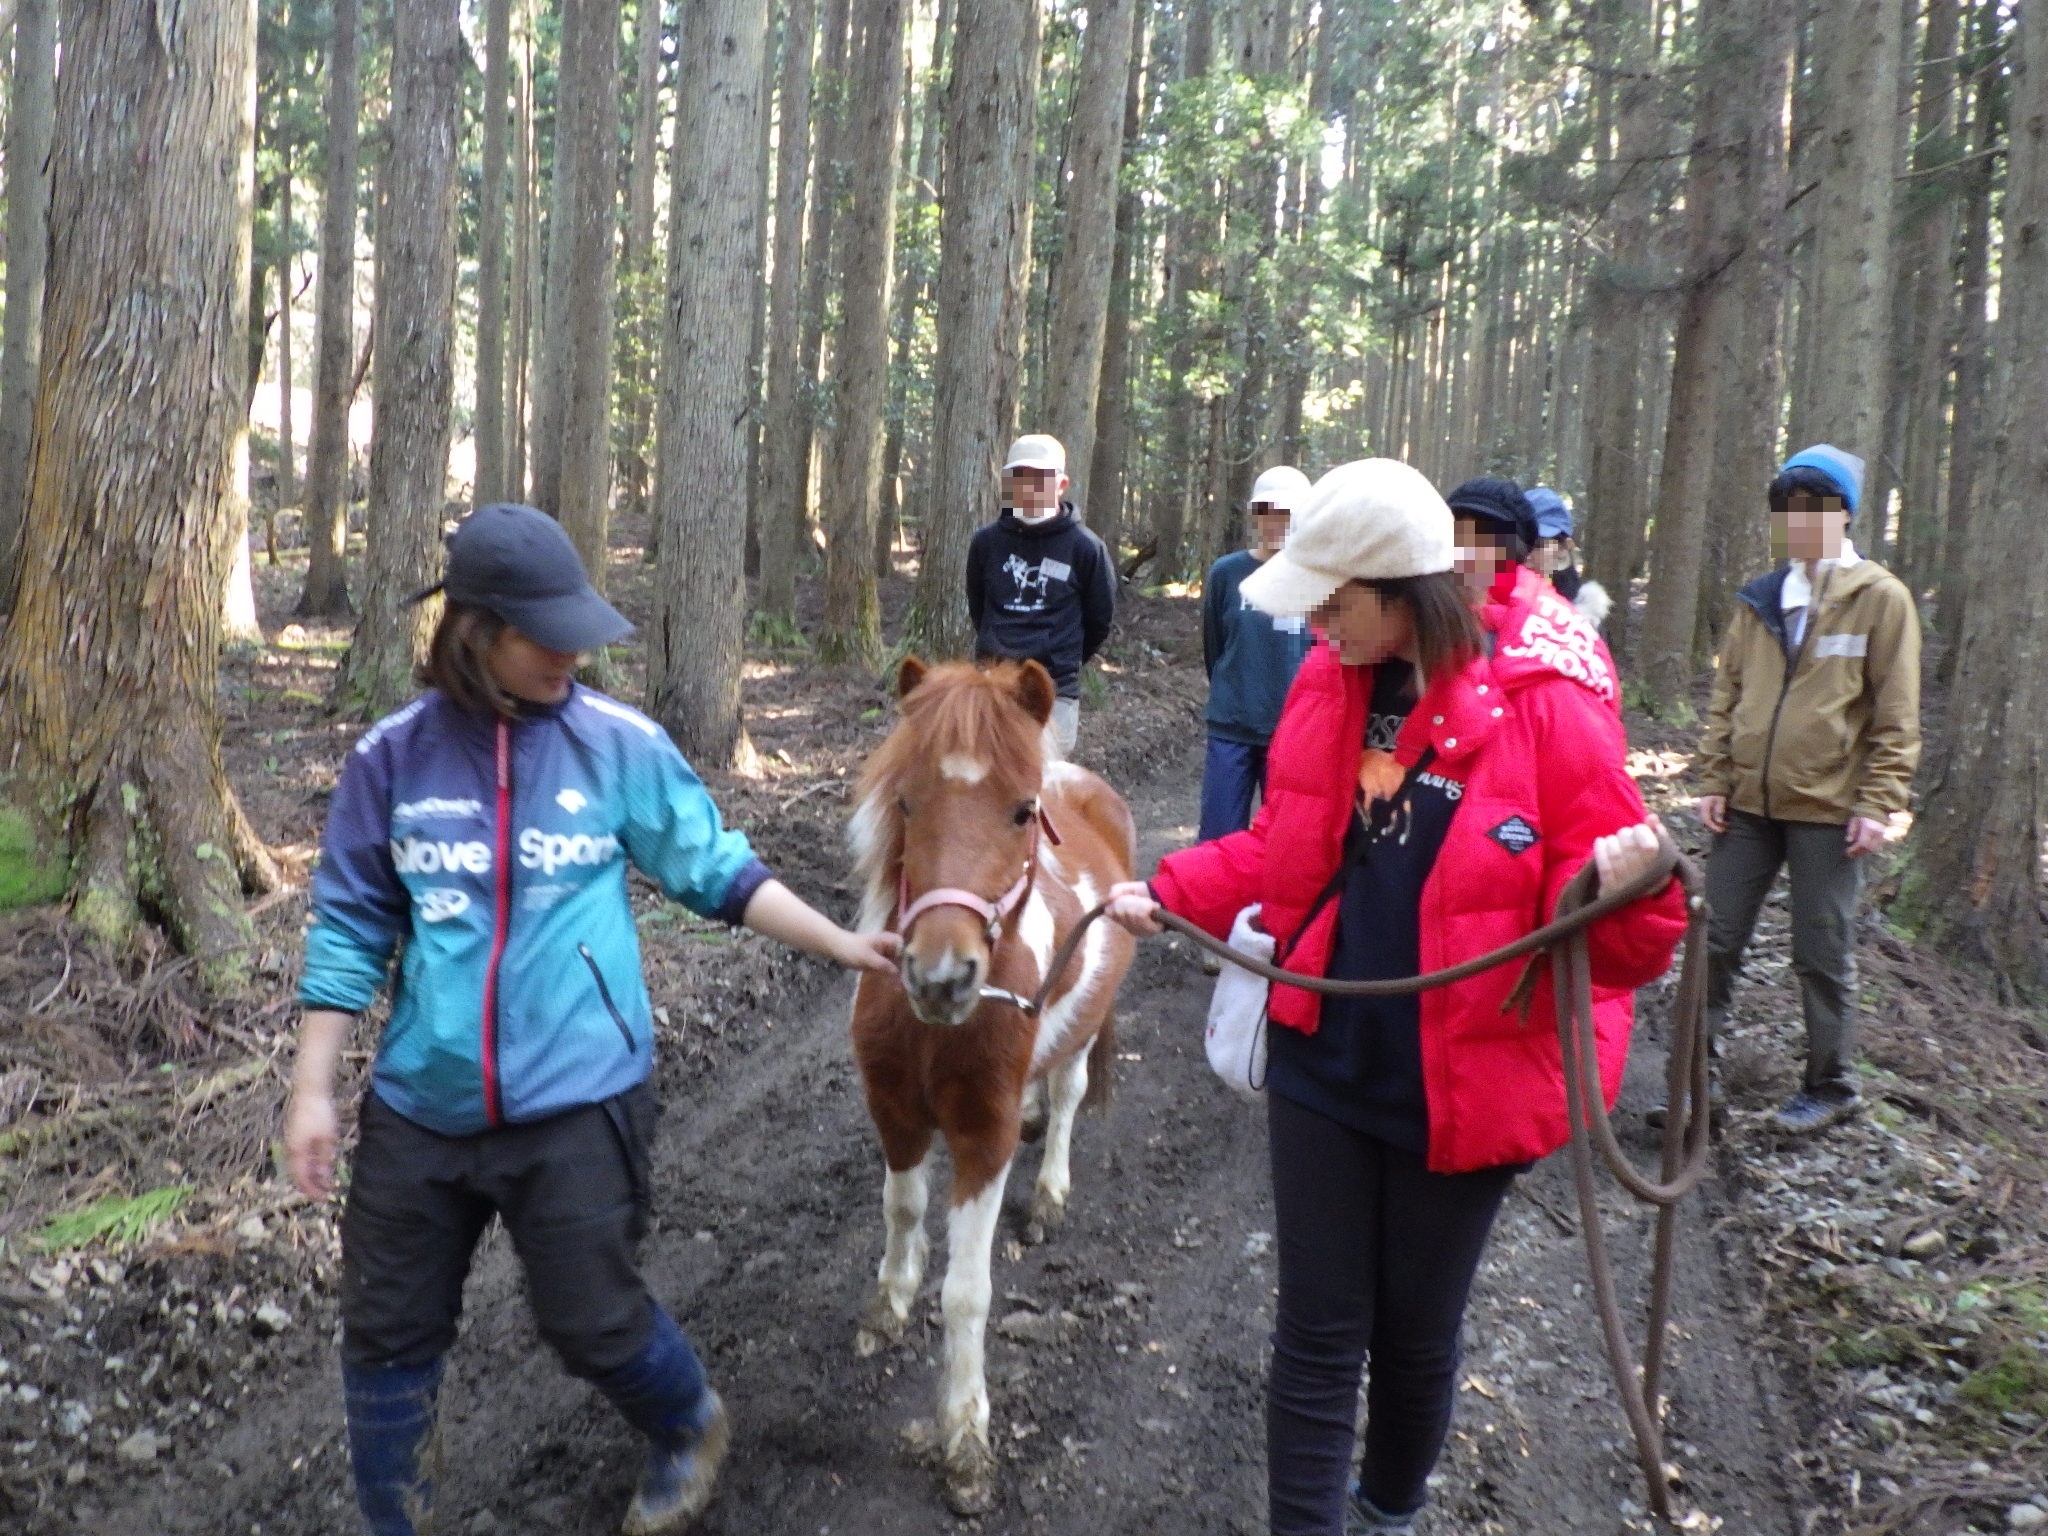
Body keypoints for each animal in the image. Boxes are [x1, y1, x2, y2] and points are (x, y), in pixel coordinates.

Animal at [843, 659, 1138, 1515]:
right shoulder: (894, 1109)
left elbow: (967, 1292)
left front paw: (966, 1438)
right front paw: (889, 1302)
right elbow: (902, 1208)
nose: (941, 976)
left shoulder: (982, 1136)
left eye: (1021, 811)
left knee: (1069, 1094)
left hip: (1086, 1026)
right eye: (907, 800)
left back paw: (1048, 1193)